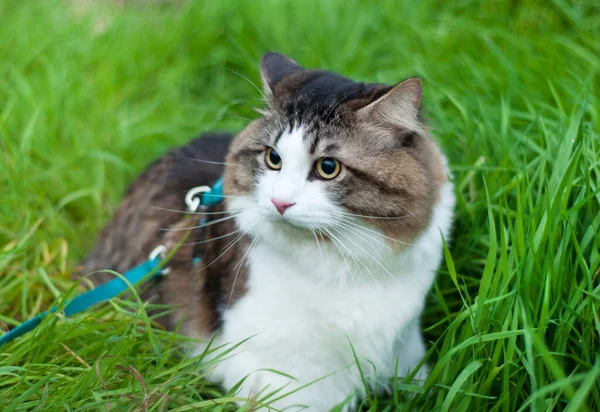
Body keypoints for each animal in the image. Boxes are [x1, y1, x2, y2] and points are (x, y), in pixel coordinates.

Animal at [81, 53, 454, 410]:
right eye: (273, 158)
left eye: (328, 167)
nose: (280, 202)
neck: (346, 263)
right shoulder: (277, 378)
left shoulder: (405, 349)